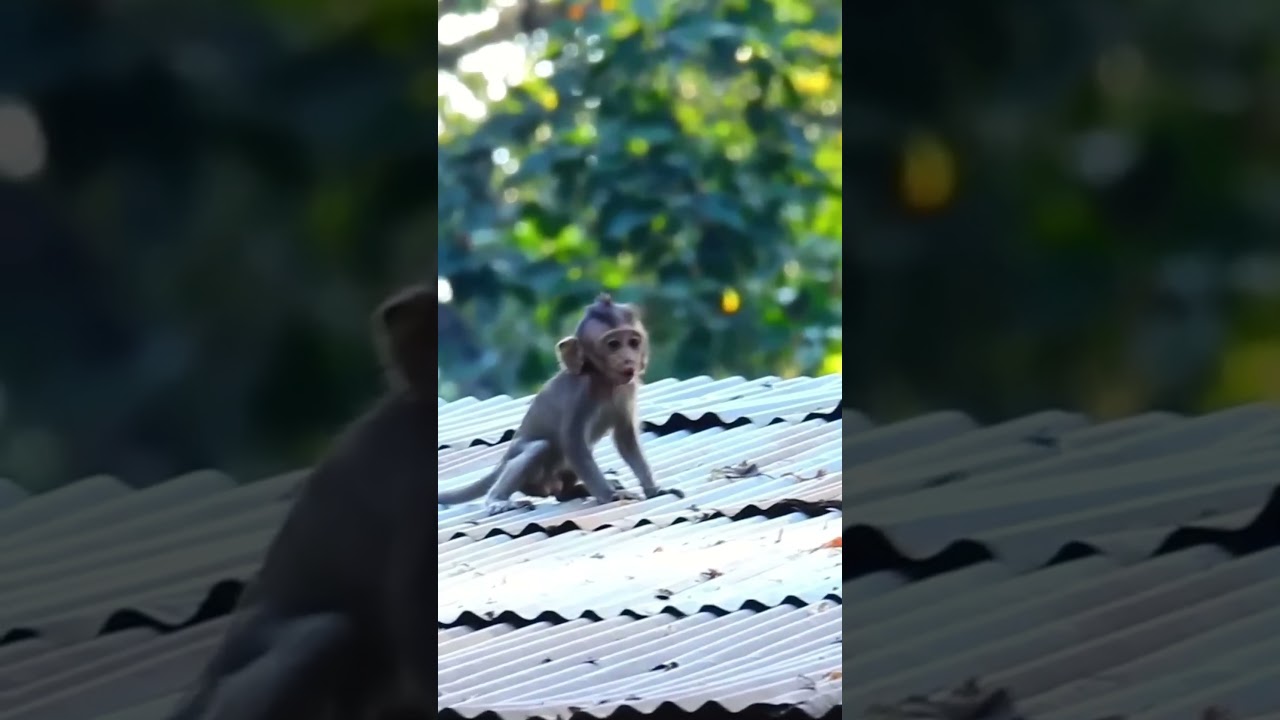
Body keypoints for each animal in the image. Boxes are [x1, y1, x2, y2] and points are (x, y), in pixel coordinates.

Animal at [438, 293, 685, 515]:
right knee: (538, 448)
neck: (605, 382)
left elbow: (626, 439)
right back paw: (497, 499)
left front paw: (654, 489)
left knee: (560, 486)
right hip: (529, 473)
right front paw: (610, 495)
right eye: (613, 345)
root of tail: (503, 459)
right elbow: (573, 441)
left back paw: (572, 492)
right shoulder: (582, 393)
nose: (628, 359)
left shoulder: (628, 389)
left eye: (633, 342)